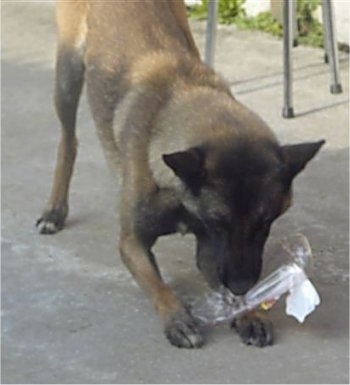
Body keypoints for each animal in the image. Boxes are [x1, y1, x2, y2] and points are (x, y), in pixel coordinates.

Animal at [37, 0, 324, 348]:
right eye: (219, 222)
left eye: (266, 221)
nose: (241, 284)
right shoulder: (133, 242)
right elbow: (156, 284)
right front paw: (177, 317)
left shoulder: (211, 251)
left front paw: (248, 312)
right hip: (68, 74)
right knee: (68, 140)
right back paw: (54, 210)